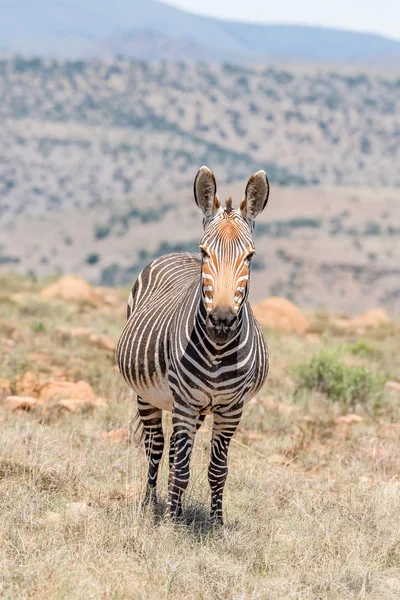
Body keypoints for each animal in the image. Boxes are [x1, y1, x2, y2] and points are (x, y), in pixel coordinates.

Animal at [117, 166, 270, 524]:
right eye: (205, 252)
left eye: (250, 256)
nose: (222, 321)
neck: (218, 351)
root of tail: (176, 253)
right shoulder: (185, 403)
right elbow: (182, 468)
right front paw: (172, 523)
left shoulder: (231, 410)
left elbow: (217, 470)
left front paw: (215, 523)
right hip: (149, 395)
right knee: (157, 446)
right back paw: (152, 504)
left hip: (197, 409)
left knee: (173, 450)